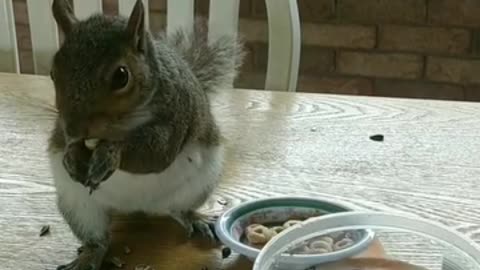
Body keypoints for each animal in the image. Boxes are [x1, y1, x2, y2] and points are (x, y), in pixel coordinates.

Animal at [47, 1, 244, 268]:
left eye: (121, 76)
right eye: (53, 73)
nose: (73, 129)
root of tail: (135, 206)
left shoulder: (175, 116)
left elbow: (155, 155)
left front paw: (110, 155)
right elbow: (66, 144)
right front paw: (71, 156)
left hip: (199, 184)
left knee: (177, 210)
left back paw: (195, 219)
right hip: (77, 205)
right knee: (98, 240)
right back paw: (88, 257)